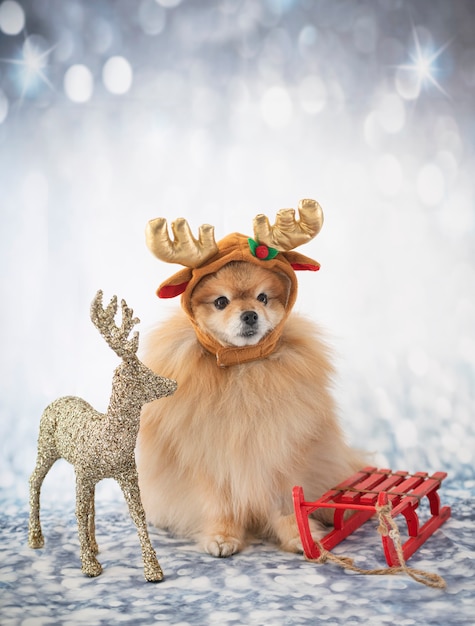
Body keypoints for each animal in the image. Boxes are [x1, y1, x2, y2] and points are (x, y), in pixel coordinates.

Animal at [137, 204, 364, 556]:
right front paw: (222, 536)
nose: (249, 315)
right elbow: (220, 504)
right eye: (221, 302)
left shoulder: (282, 451)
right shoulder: (210, 459)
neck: (243, 367)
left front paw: (300, 536)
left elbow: (287, 502)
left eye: (263, 298)